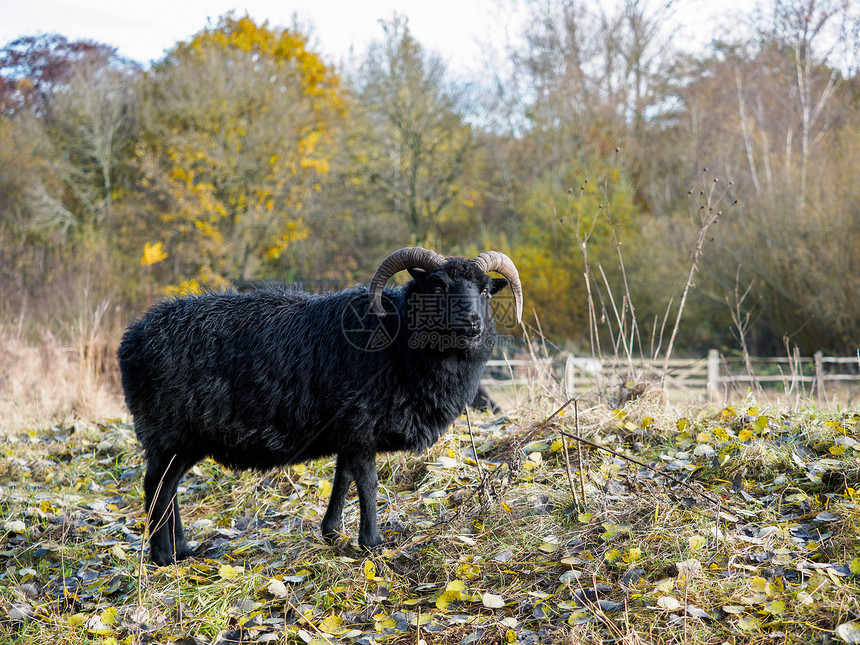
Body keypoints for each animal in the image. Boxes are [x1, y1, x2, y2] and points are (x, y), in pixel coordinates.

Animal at [116, 247, 520, 564]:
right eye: (437, 286)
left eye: (484, 289)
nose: (471, 324)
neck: (398, 341)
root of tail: (130, 339)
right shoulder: (361, 427)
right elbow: (367, 482)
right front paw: (372, 543)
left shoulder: (347, 432)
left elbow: (343, 479)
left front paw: (333, 534)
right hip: (169, 430)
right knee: (157, 487)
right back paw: (164, 557)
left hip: (187, 439)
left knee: (169, 488)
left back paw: (183, 549)